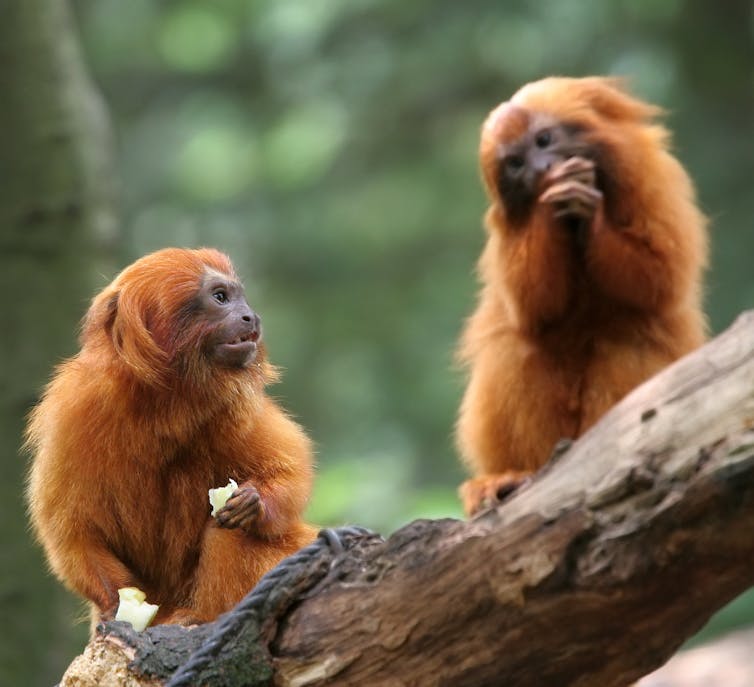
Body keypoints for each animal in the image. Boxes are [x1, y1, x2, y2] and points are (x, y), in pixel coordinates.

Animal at [25, 247, 317, 625]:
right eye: (220, 298)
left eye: (240, 298)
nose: (250, 317)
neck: (164, 405)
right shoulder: (72, 418)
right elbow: (74, 531)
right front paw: (116, 603)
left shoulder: (239, 408)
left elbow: (290, 472)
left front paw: (254, 502)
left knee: (228, 528)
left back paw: (200, 615)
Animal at [456, 76, 708, 516]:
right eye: (516, 163)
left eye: (544, 140)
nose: (542, 169)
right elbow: (534, 309)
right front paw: (553, 196)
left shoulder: (653, 181)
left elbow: (660, 280)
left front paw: (590, 209)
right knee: (517, 348)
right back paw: (516, 475)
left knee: (628, 340)